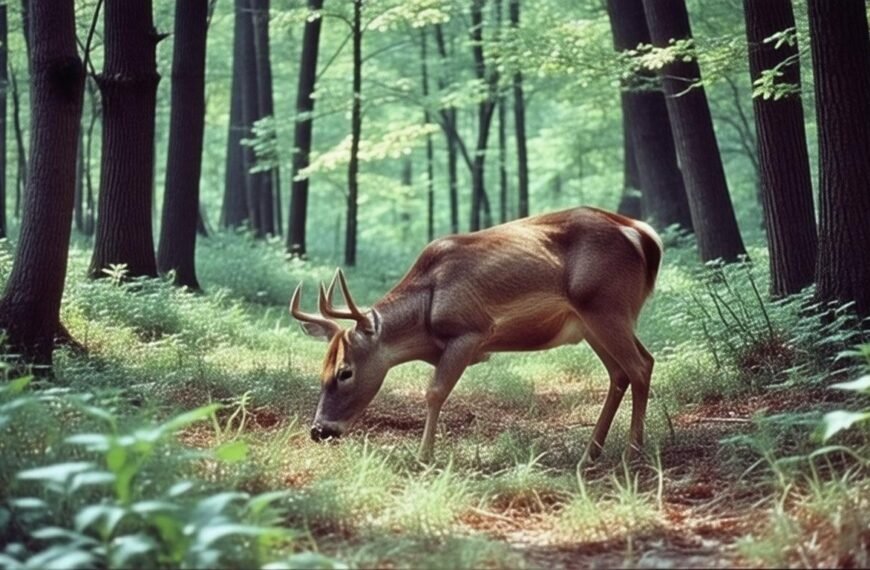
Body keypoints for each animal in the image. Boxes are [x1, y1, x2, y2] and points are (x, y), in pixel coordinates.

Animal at [289, 206, 662, 463]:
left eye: (345, 372)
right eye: (322, 370)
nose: (319, 430)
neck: (426, 313)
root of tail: (646, 236)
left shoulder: (469, 331)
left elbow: (434, 392)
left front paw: (423, 457)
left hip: (605, 306)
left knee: (640, 366)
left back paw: (632, 453)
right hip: (594, 321)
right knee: (622, 371)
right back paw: (590, 454)